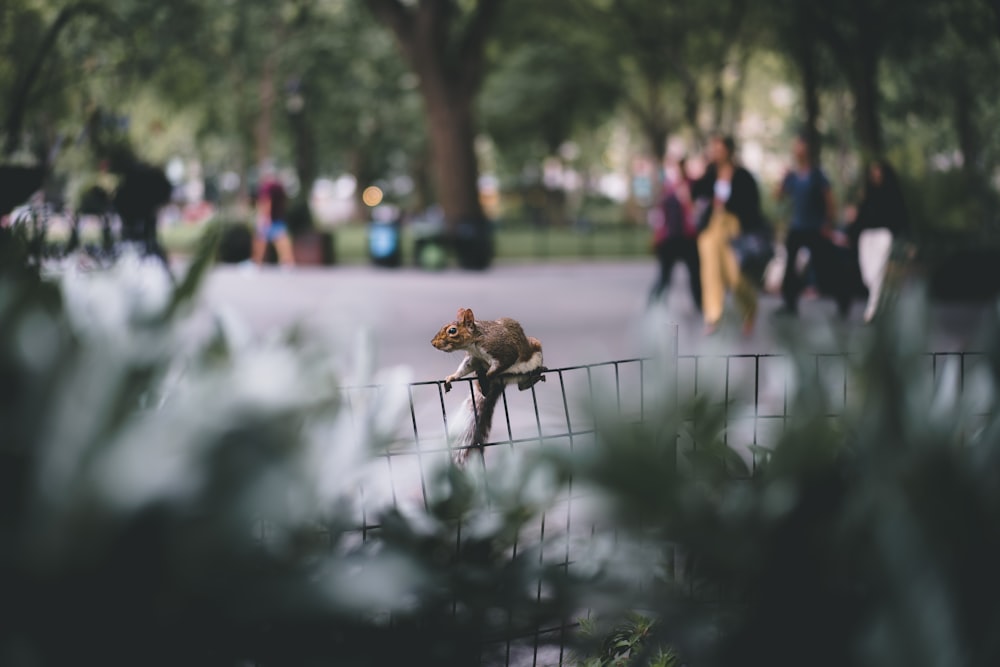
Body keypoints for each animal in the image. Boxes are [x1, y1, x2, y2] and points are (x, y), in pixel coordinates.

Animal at [428, 308, 544, 464]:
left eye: (452, 330)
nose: (433, 343)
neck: (475, 342)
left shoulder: (503, 351)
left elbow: (502, 363)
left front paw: (487, 376)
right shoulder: (474, 358)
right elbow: (465, 368)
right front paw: (452, 377)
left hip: (535, 350)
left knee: (522, 384)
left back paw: (537, 374)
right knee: (519, 387)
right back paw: (484, 384)